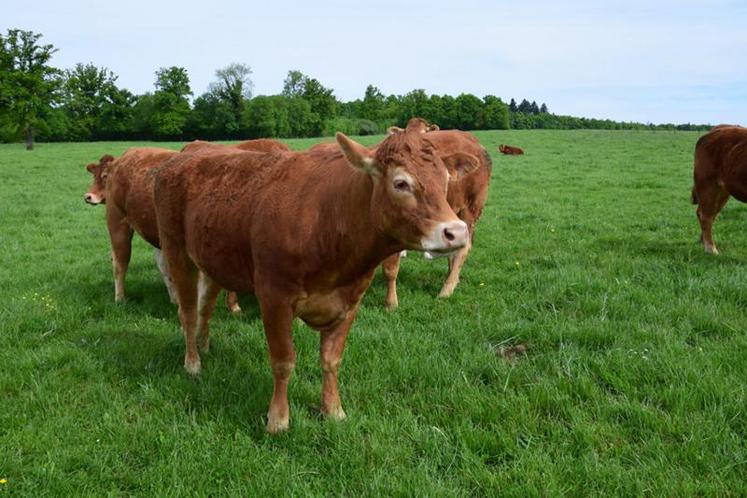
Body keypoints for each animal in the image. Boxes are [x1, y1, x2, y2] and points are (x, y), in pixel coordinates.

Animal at [84, 147, 240, 312]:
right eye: (95, 175)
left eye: (104, 176)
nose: (88, 196)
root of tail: (127, 155)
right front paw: (233, 306)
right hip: (117, 222)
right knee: (120, 261)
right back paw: (120, 299)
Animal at [692, 124, 747, 255]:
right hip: (707, 184)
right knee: (705, 215)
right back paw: (711, 248)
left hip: (722, 191)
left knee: (710, 213)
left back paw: (703, 241)